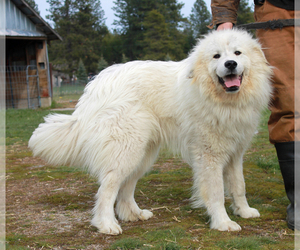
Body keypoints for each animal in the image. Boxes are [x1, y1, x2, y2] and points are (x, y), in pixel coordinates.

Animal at [29, 28, 274, 234]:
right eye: (216, 56)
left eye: (237, 53)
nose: (230, 64)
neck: (222, 99)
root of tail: (96, 84)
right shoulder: (209, 155)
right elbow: (216, 192)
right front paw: (222, 222)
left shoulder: (235, 153)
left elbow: (239, 185)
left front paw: (244, 211)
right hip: (126, 150)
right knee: (107, 189)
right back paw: (107, 224)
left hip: (142, 154)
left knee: (126, 188)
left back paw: (133, 214)